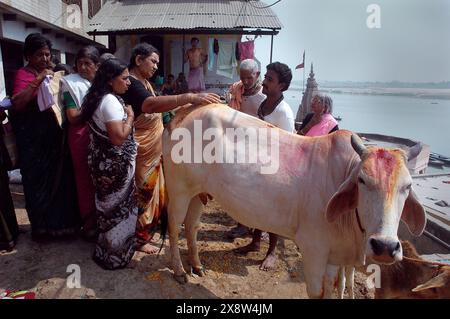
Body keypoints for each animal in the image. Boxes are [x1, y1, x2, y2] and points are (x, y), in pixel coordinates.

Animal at [162, 105, 426, 300]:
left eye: (407, 186)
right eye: (362, 180)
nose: (385, 246)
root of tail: (184, 111)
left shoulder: (334, 257)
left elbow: (333, 288)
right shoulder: (313, 248)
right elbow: (317, 292)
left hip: (198, 192)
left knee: (192, 226)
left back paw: (197, 265)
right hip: (179, 189)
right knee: (174, 227)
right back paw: (179, 271)